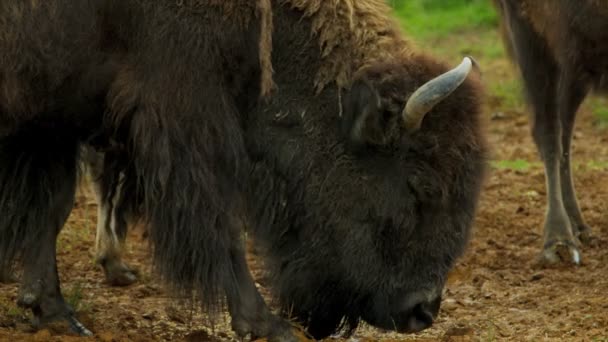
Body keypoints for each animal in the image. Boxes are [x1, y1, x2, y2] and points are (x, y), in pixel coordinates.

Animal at [0, 0, 484, 340]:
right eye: (420, 187)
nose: (422, 311)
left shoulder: (55, 116)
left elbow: (51, 208)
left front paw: (52, 311)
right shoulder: (184, 122)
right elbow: (219, 224)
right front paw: (268, 325)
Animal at [494, 0, 608, 266]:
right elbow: (549, 133)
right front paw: (558, 243)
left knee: (564, 126)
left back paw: (579, 227)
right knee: (551, 131)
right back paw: (563, 239)